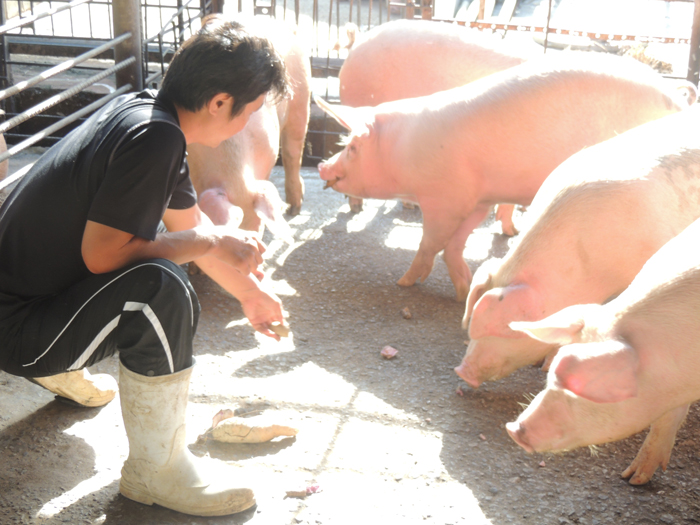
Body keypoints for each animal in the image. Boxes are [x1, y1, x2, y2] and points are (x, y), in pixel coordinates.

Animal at [318, 52, 696, 302]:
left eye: (352, 147)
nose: (322, 166)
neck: (403, 149)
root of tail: (681, 105)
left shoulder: (445, 199)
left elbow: (431, 242)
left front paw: (404, 283)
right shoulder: (476, 200)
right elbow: (454, 245)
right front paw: (462, 290)